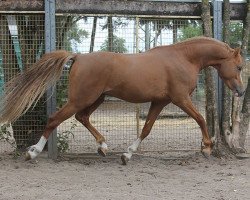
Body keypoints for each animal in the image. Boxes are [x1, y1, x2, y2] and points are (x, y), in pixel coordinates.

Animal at [0, 36, 243, 164]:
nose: (240, 91)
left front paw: (127, 154)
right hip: (82, 98)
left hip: (96, 99)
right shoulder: (180, 98)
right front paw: (207, 148)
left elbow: (146, 128)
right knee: (54, 119)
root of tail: (79, 56)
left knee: (82, 117)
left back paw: (103, 146)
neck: (183, 58)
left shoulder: (160, 102)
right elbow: (200, 119)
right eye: (240, 67)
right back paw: (33, 152)